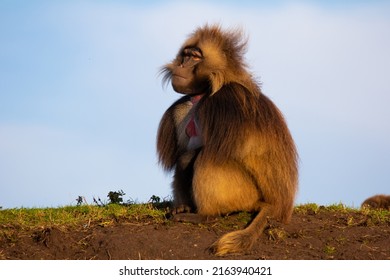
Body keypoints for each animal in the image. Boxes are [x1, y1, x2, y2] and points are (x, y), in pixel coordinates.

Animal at [157, 24, 298, 256]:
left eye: (195, 57)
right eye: (185, 55)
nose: (182, 65)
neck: (208, 91)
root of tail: (277, 205)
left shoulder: (225, 102)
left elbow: (211, 151)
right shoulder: (182, 110)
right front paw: (181, 205)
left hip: (246, 195)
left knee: (205, 157)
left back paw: (204, 215)